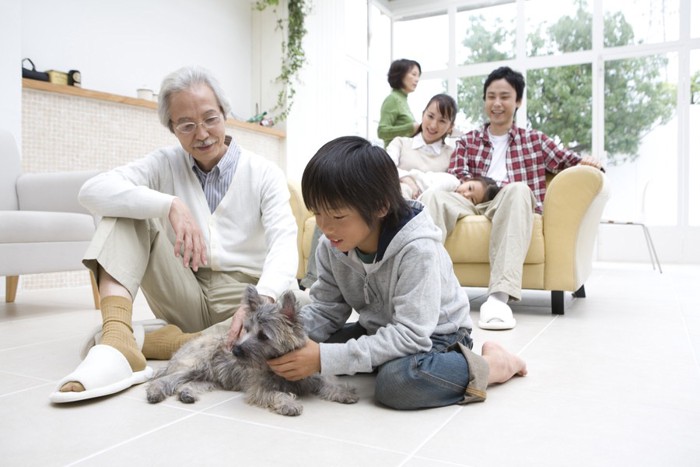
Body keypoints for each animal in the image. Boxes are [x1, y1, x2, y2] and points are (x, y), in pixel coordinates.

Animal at [146, 286, 358, 416]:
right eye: (246, 329)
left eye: (263, 335)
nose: (235, 350)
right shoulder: (259, 388)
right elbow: (277, 394)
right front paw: (289, 404)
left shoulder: (310, 372)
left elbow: (328, 382)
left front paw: (344, 392)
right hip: (194, 365)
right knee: (165, 380)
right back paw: (155, 391)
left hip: (208, 377)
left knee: (190, 383)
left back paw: (187, 393)